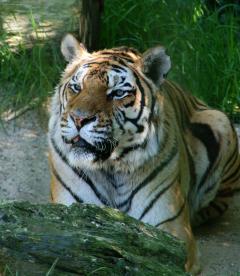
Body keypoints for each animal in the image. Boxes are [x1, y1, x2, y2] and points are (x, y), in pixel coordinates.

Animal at [48, 33, 240, 272]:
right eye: (76, 87)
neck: (111, 168)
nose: (79, 119)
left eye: (118, 93)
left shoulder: (171, 228)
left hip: (219, 120)